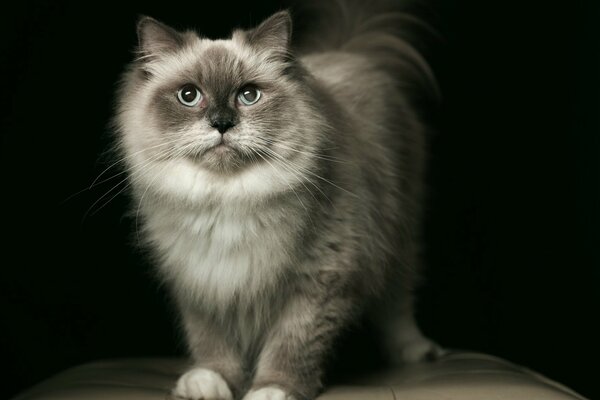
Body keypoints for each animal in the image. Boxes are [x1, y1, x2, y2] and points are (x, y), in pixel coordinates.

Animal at [113, 0, 440, 400]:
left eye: (249, 95)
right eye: (188, 96)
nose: (222, 123)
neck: (228, 201)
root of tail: (346, 52)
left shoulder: (320, 279)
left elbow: (292, 345)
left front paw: (271, 390)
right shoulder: (200, 280)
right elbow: (211, 342)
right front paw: (210, 381)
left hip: (402, 236)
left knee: (399, 303)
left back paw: (418, 353)